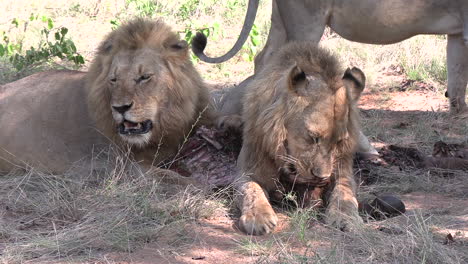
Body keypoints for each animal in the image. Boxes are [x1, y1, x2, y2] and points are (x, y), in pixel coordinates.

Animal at [234, 41, 366, 235]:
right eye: (313, 137)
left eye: (339, 142)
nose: (321, 177)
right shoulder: (248, 169)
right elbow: (251, 189)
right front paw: (258, 217)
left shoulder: (342, 169)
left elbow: (345, 192)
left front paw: (347, 217)